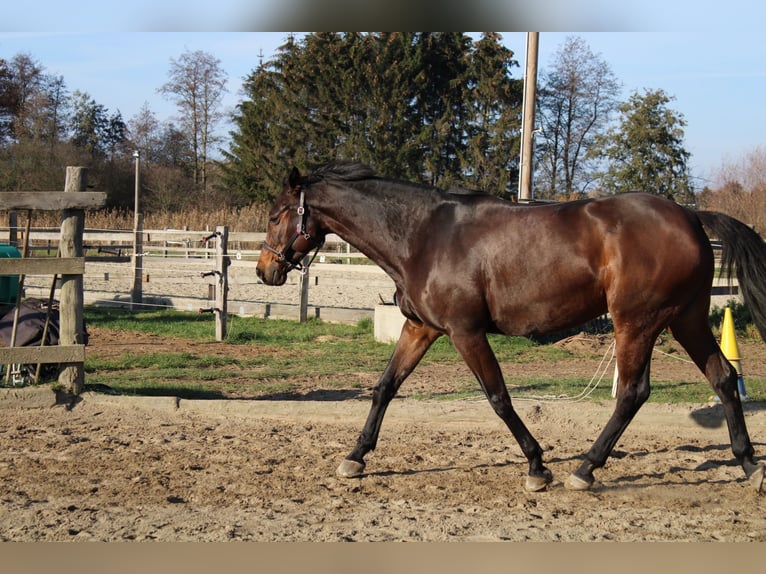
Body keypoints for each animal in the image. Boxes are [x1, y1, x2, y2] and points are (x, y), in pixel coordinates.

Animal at [256, 160, 765, 493]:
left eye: (276, 215)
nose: (265, 271)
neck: (422, 236)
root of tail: (691, 216)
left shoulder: (465, 332)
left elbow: (498, 397)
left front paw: (538, 467)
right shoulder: (420, 328)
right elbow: (384, 388)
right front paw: (355, 457)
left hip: (636, 323)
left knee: (632, 393)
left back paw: (585, 469)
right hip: (685, 319)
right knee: (723, 377)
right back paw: (747, 463)